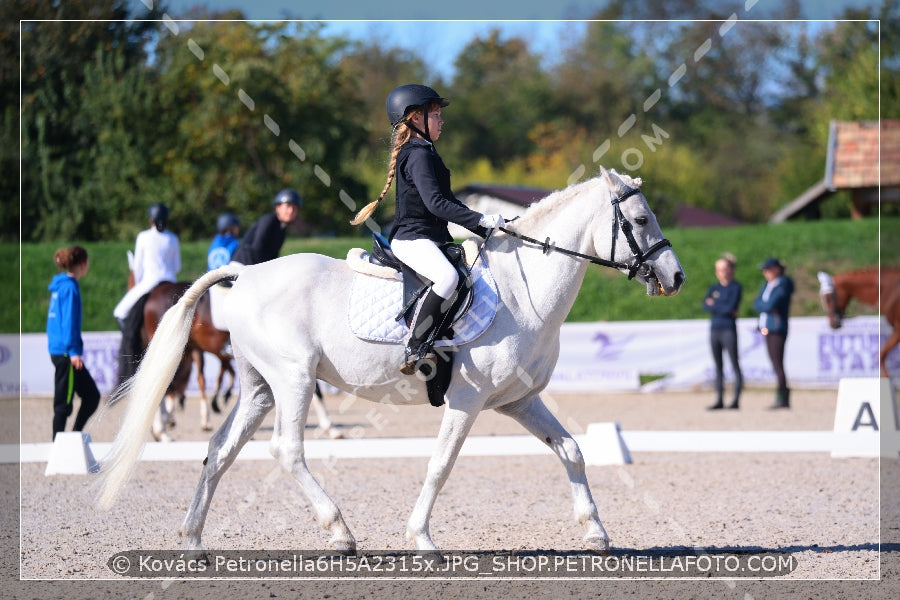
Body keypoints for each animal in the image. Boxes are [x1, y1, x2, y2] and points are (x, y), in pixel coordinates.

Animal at [98, 166, 684, 556]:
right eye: (638, 218)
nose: (675, 277)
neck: (524, 291)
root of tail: (246, 274)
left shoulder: (516, 401)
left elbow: (572, 450)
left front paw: (596, 531)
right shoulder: (468, 399)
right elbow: (441, 465)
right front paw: (421, 537)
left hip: (259, 386)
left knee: (220, 451)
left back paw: (193, 540)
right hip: (293, 378)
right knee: (286, 450)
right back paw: (339, 532)